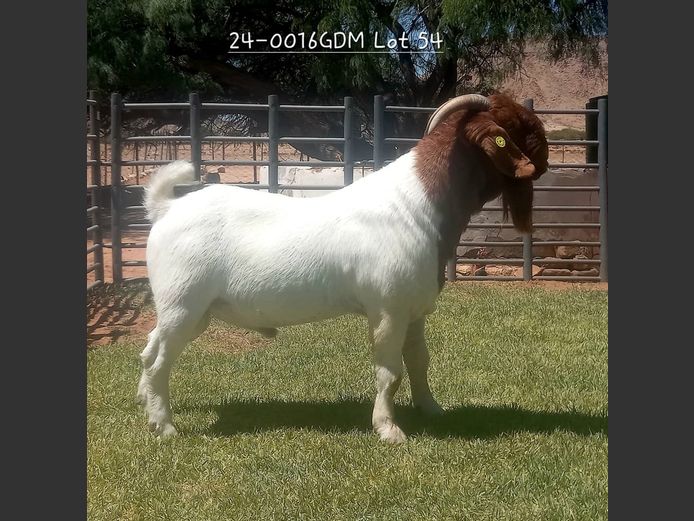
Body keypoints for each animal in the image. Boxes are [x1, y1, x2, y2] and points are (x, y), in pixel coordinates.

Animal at [137, 93, 549, 443]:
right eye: (517, 124)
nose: (545, 161)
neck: (416, 204)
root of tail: (166, 208)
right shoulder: (388, 309)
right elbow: (390, 372)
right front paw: (389, 429)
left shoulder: (413, 309)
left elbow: (419, 362)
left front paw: (432, 409)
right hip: (184, 303)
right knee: (158, 362)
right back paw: (164, 427)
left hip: (188, 310)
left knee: (148, 349)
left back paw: (145, 403)